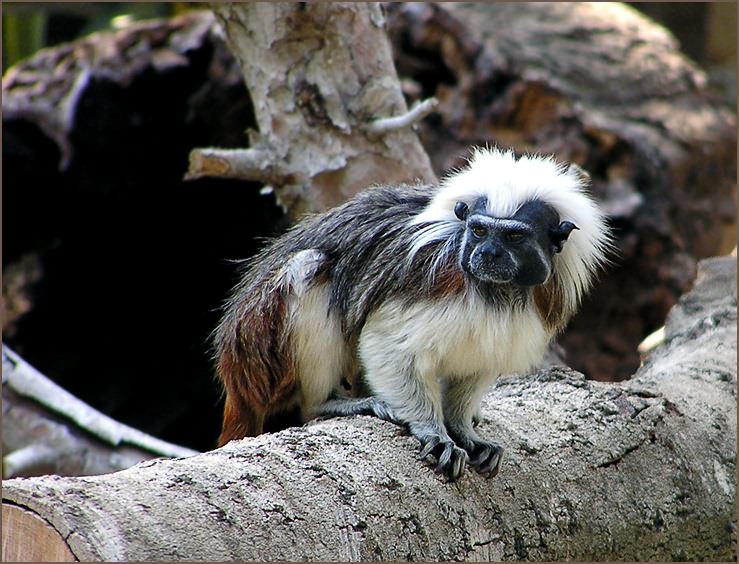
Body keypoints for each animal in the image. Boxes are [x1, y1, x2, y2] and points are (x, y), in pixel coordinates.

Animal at [214, 147, 612, 480]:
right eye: (479, 231)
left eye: (514, 237)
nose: (487, 254)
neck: (495, 291)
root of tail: (236, 374)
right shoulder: (431, 279)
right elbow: (386, 344)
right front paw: (433, 431)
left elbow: (479, 362)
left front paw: (462, 427)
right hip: (264, 350)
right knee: (310, 267)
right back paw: (329, 403)